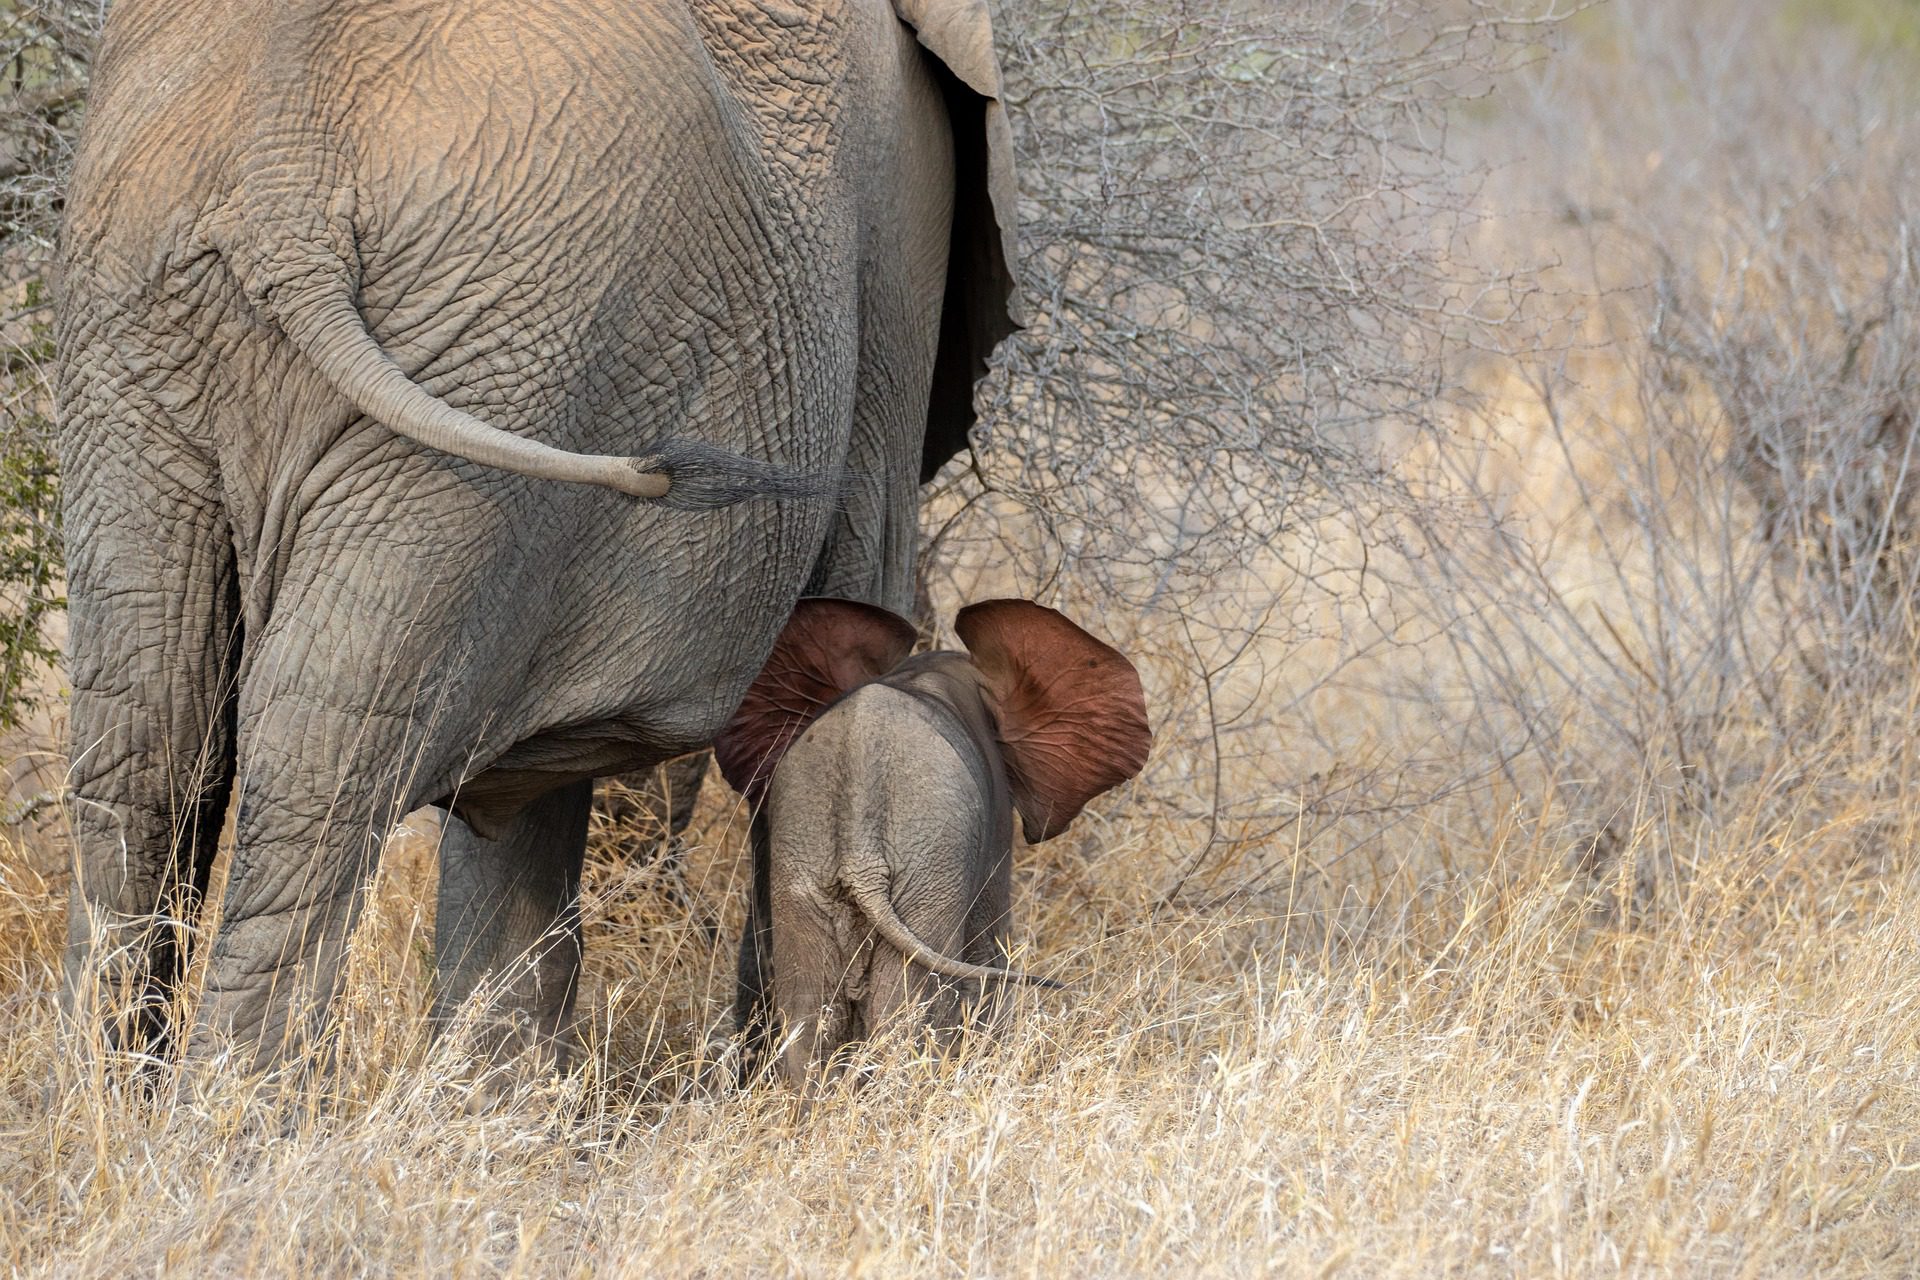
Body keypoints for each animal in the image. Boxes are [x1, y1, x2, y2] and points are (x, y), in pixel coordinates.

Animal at [55, 0, 1020, 1066]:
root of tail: (283, 182)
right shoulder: (900, 226)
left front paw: (496, 1089)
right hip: (505, 348)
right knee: (319, 766)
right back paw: (233, 1105)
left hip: (159, 328)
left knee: (150, 737)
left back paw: (121, 1100)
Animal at [711, 597, 1151, 1084]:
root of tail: (861, 853)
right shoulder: (995, 820)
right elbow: (989, 949)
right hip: (926, 868)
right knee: (902, 1008)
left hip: (809, 866)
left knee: (811, 1014)